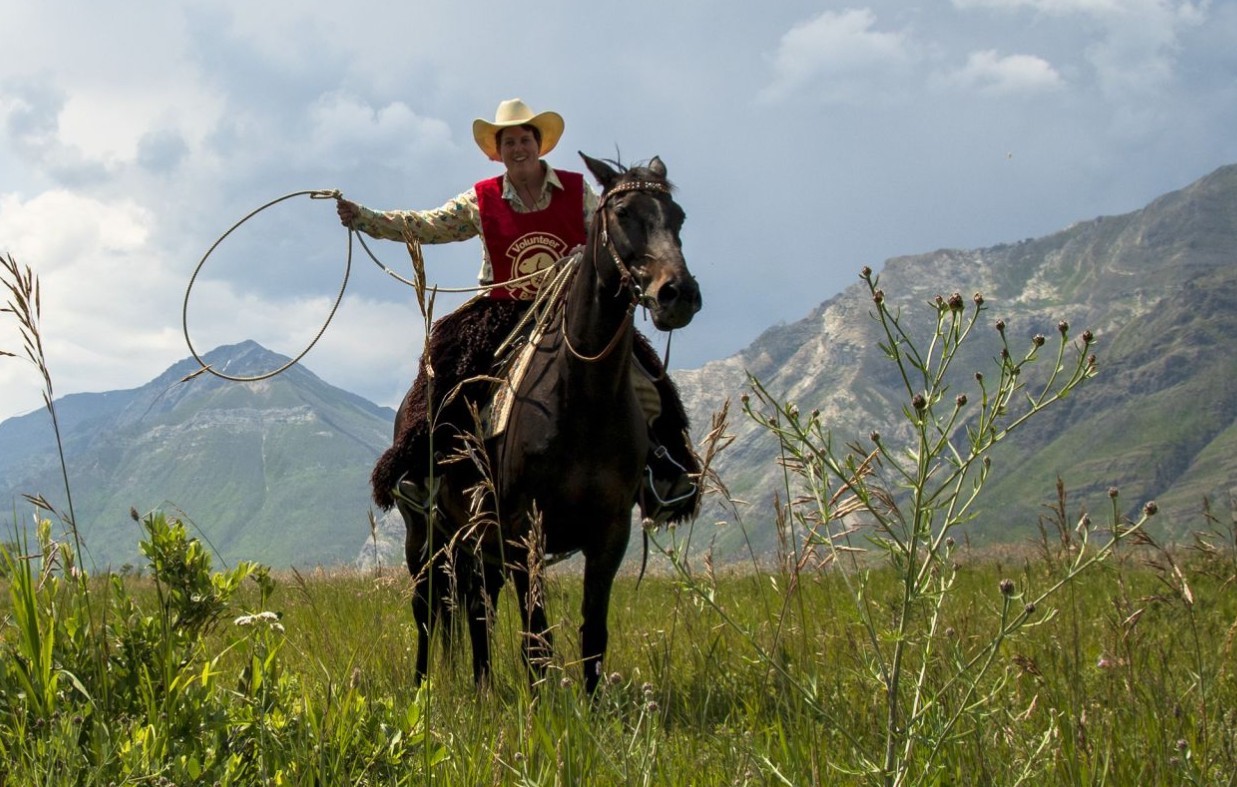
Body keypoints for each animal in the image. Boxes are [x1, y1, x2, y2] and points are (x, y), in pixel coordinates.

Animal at [393, 150, 707, 692]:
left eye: (679, 217)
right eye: (622, 213)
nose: (678, 294)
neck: (581, 400)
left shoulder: (609, 534)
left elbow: (593, 637)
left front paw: (591, 706)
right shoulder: (525, 533)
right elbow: (536, 642)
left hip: (478, 541)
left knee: (477, 609)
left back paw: (483, 688)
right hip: (426, 537)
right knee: (428, 611)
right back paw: (423, 687)